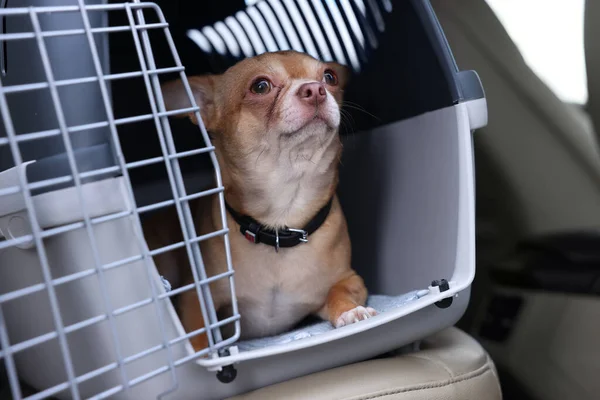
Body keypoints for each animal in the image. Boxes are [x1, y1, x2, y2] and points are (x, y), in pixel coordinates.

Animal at [146, 50, 378, 354]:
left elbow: (338, 291)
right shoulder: (196, 296)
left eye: (330, 77)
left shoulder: (350, 278)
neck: (282, 218)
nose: (315, 89)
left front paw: (350, 311)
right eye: (260, 86)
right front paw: (199, 352)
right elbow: (198, 332)